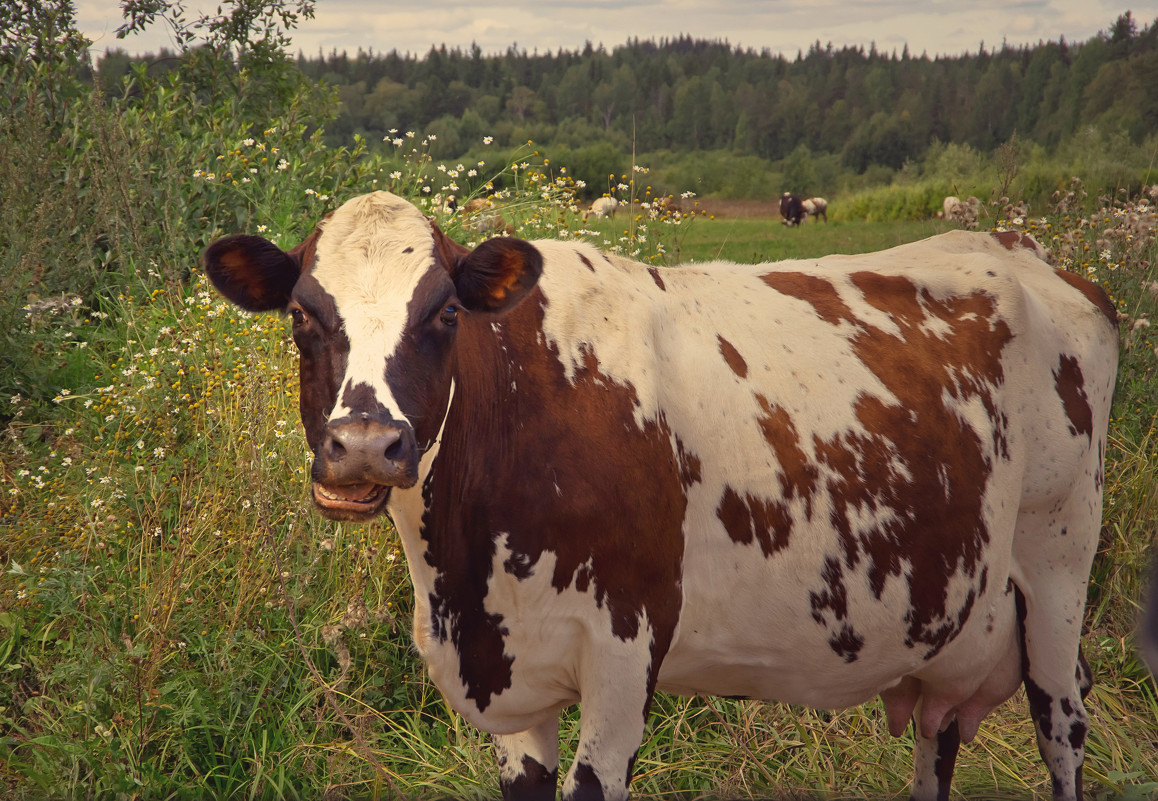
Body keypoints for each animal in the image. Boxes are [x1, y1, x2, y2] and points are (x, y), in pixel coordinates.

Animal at [208, 192, 1120, 801]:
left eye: (443, 314)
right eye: (301, 315)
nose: (365, 444)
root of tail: (1026, 251)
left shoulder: (623, 647)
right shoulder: (510, 688)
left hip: (1058, 570)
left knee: (1062, 720)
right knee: (939, 731)